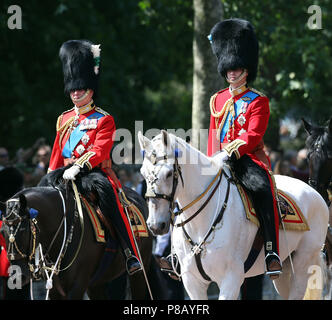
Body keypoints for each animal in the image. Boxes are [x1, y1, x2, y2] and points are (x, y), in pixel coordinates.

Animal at [0, 166, 166, 298]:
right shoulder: (55, 289)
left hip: (140, 271)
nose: (17, 276)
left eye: (23, 229)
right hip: (97, 282)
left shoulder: (77, 285)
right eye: (2, 231)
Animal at [137, 130, 330, 300]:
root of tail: (314, 191)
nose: (155, 225)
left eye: (169, 173)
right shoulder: (192, 282)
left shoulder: (231, 278)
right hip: (285, 271)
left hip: (302, 264)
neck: (200, 221)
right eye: (143, 173)